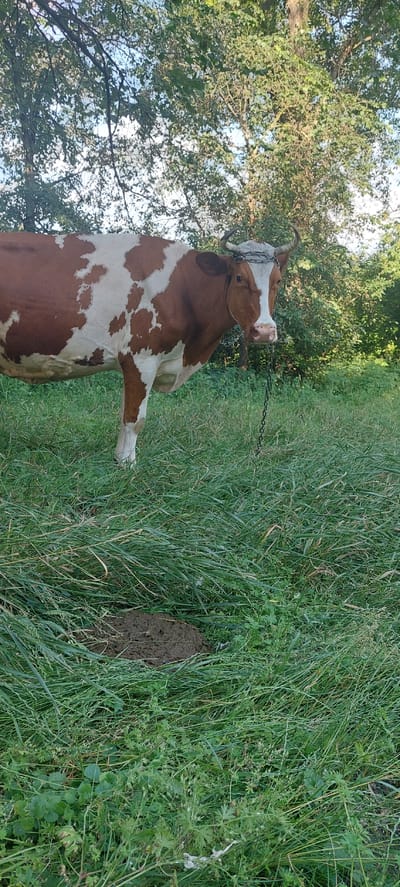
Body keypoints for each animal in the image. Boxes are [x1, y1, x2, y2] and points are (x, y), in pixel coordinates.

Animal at [0, 227, 299, 463]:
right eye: (239, 278)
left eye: (278, 281)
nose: (264, 331)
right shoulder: (142, 358)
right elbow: (136, 419)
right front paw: (128, 465)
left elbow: (124, 415)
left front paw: (119, 458)